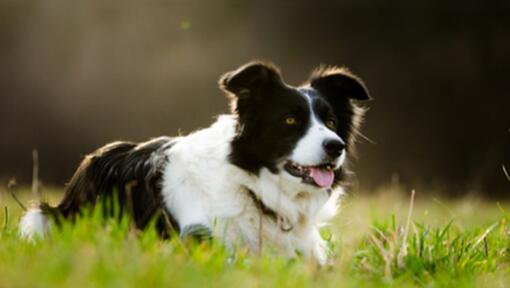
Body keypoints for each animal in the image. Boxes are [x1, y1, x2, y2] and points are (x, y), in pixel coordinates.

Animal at [19, 62, 370, 264]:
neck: (252, 186)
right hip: (49, 219)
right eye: (290, 120)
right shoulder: (204, 241)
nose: (335, 146)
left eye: (331, 122)